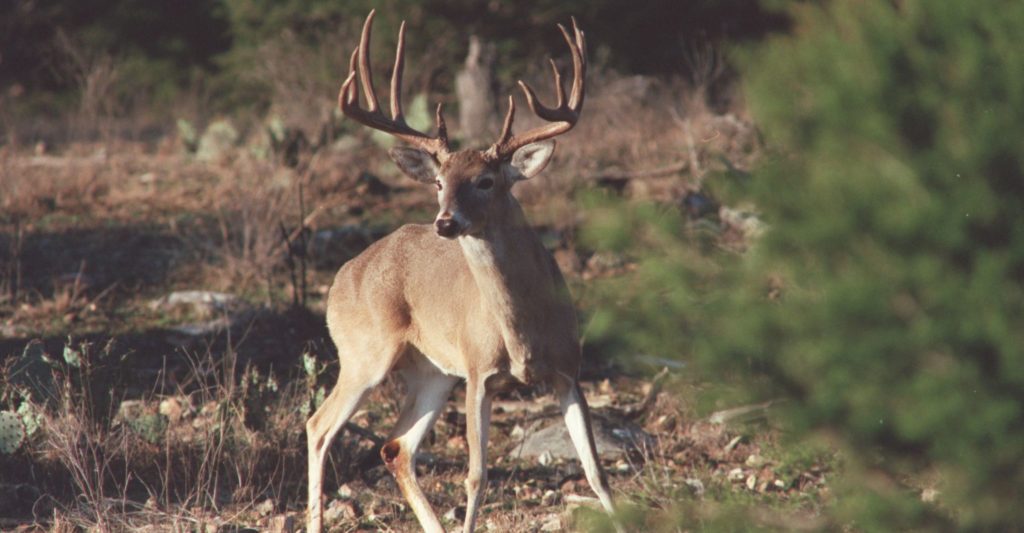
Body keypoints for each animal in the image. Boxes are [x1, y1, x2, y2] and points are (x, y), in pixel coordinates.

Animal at [305, 9, 614, 531]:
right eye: (438, 182)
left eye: (486, 180)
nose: (445, 222)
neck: (523, 330)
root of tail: (341, 277)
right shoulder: (478, 371)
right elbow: (476, 477)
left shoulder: (569, 370)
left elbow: (595, 472)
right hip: (365, 352)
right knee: (319, 425)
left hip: (430, 371)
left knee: (395, 447)